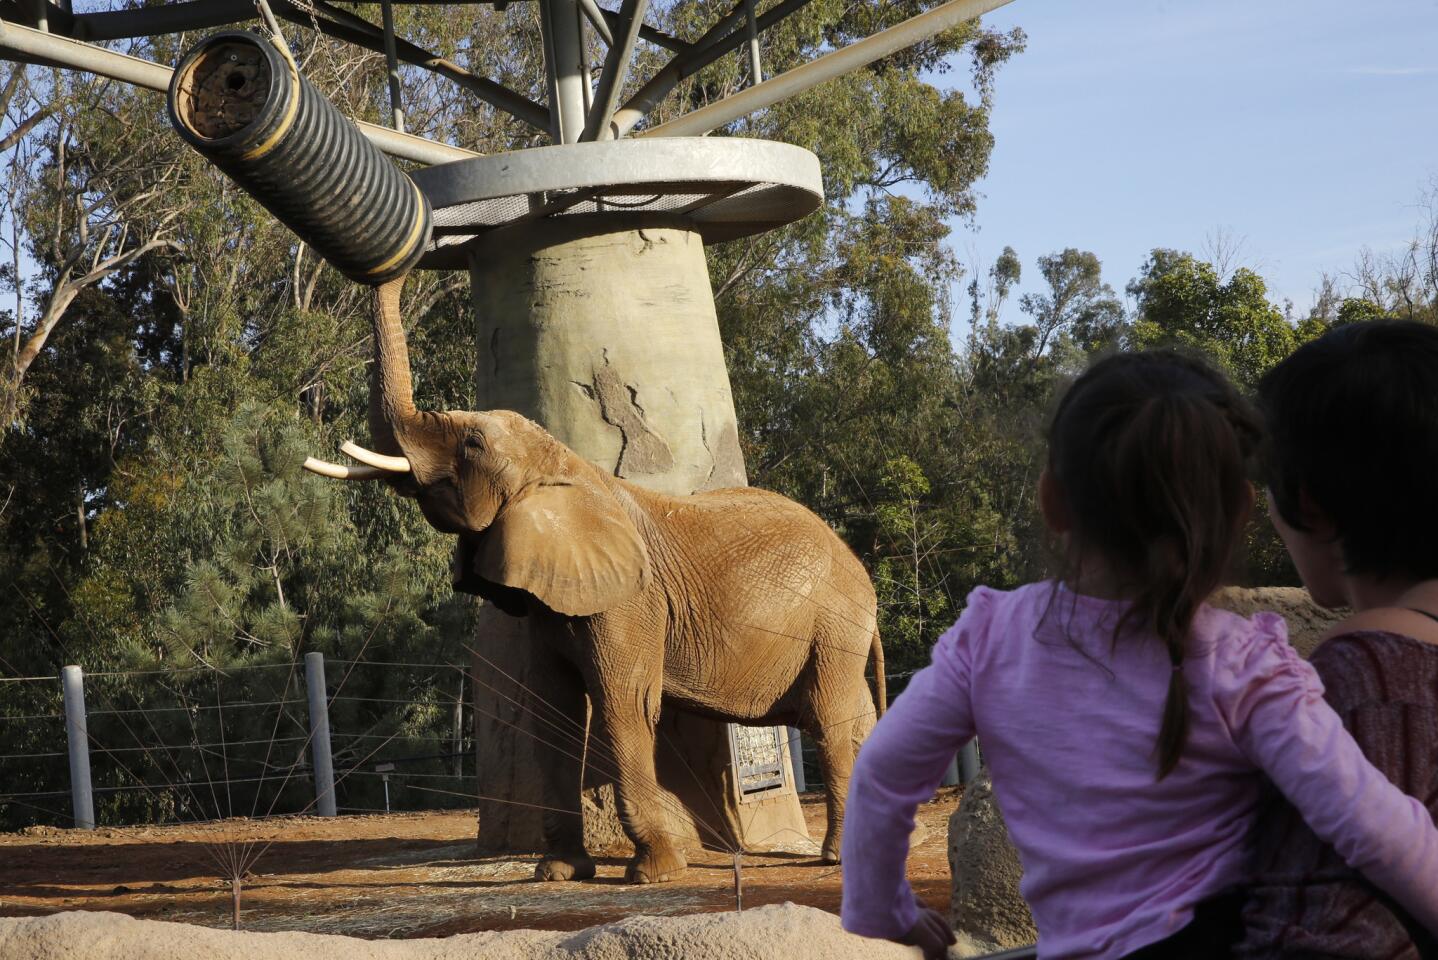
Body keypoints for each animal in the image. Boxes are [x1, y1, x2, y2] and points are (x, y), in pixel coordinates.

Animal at [307, 277, 880, 885]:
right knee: (858, 718)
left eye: (473, 445)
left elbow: (623, 704)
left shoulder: (631, 602)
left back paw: (837, 857)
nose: (396, 269)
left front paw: (654, 873)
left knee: (832, 721)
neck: (565, 466)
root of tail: (857, 568)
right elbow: (550, 709)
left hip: (835, 624)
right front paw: (558, 872)